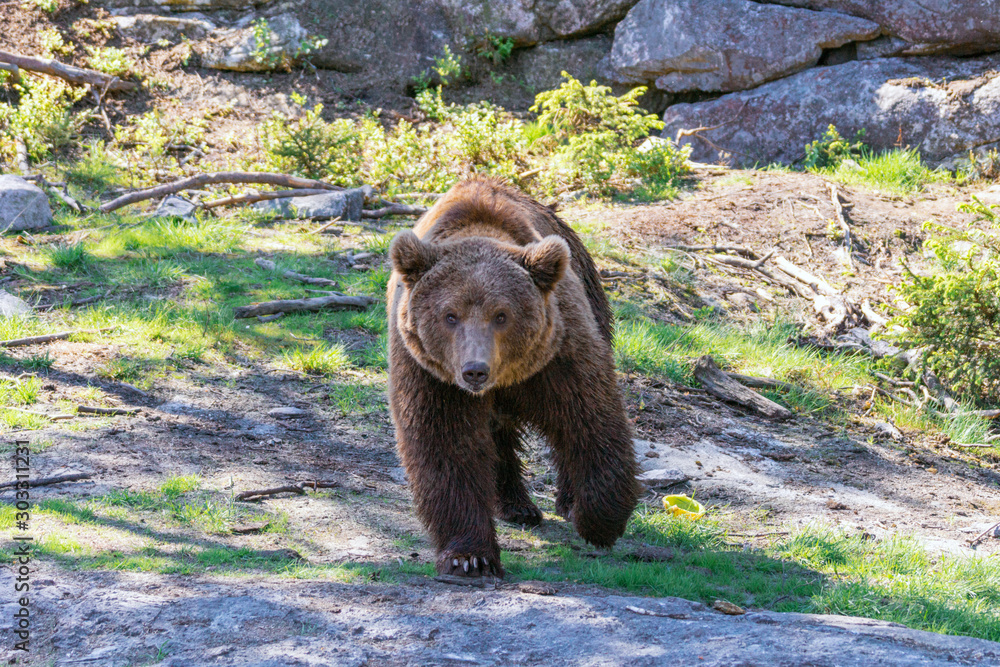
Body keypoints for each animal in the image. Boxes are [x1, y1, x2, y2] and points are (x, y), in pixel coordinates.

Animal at [387, 176, 639, 578]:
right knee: (498, 435)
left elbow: (589, 421)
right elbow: (446, 444)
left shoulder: (558, 355)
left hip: (591, 298)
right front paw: (470, 557)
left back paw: (565, 500)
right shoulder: (431, 374)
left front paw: (600, 521)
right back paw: (516, 505)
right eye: (450, 315)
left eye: (501, 315)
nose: (475, 369)